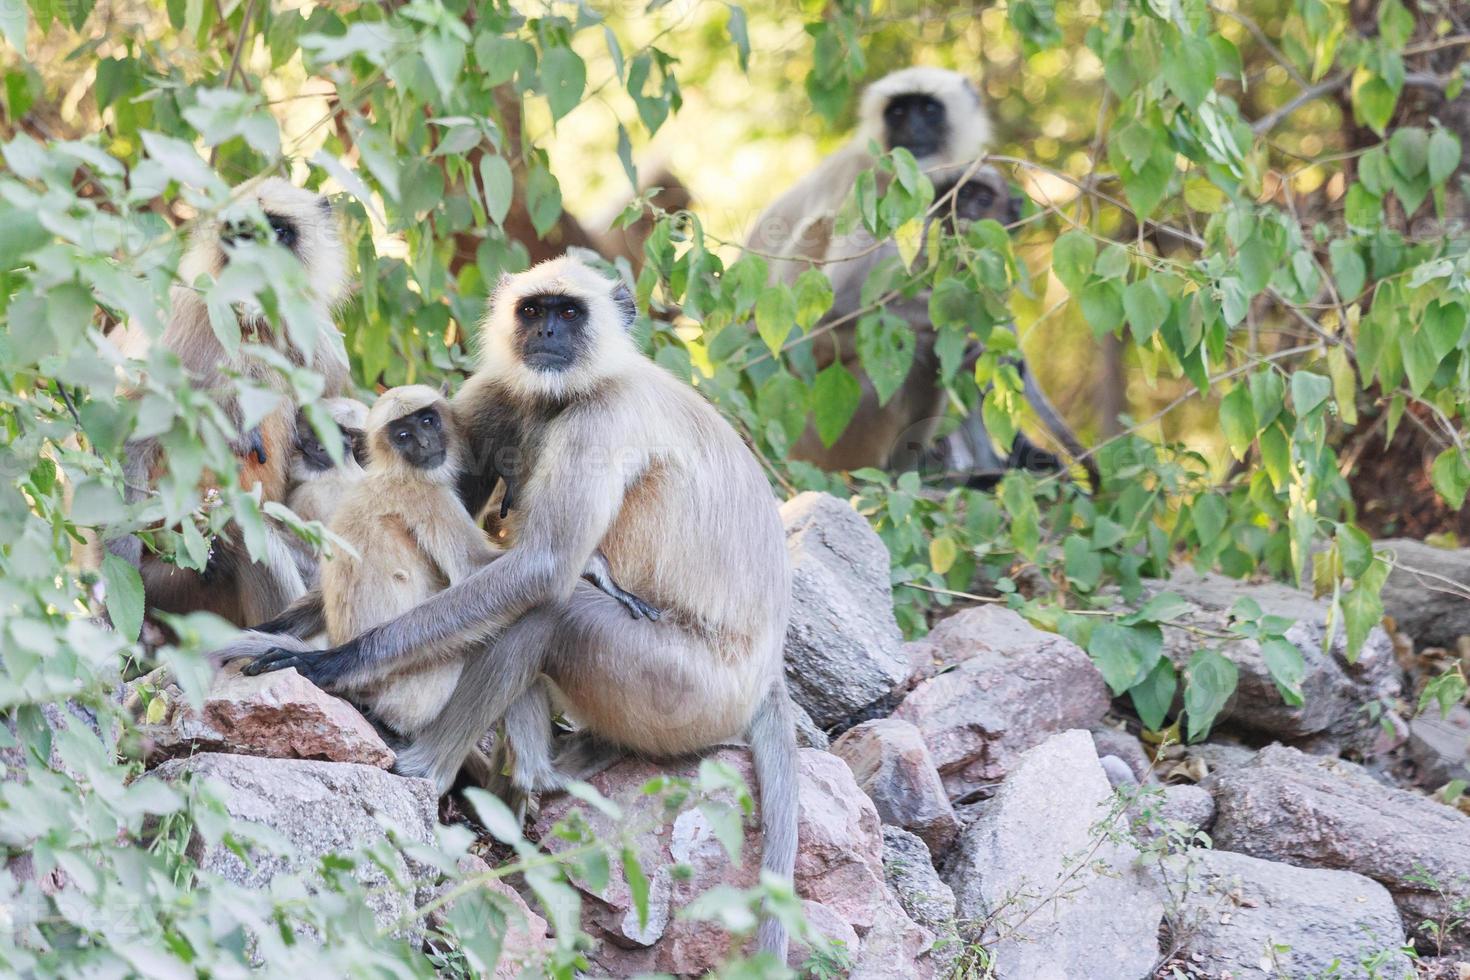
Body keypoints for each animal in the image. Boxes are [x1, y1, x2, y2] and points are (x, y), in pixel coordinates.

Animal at [105, 179, 351, 625]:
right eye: (241, 234)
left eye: (278, 233)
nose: (254, 262)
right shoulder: (184, 319)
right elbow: (129, 440)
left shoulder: (321, 343)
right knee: (241, 528)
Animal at [238, 258, 805, 957]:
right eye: (533, 311)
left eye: (570, 313)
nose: (547, 336)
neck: (565, 394)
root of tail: (766, 674)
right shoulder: (497, 394)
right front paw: (279, 630)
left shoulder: (602, 420)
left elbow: (543, 567)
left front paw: (335, 663)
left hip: (688, 690)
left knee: (552, 609)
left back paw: (439, 768)